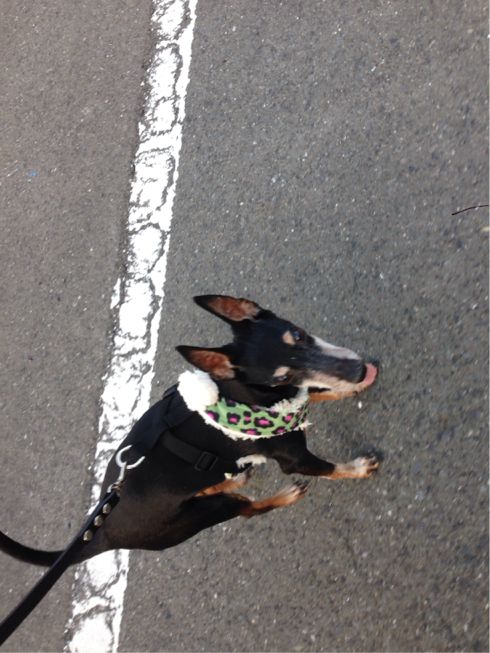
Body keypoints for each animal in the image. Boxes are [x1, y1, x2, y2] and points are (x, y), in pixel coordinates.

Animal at [0, 294, 380, 567]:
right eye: (280, 376)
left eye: (299, 334)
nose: (358, 369)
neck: (246, 394)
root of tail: (103, 534)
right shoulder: (295, 457)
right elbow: (330, 468)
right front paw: (358, 468)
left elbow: (315, 392)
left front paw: (347, 388)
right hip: (201, 516)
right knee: (247, 510)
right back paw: (282, 496)